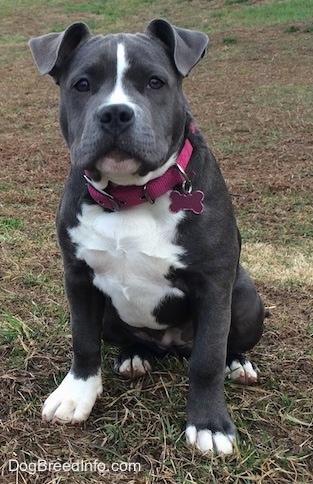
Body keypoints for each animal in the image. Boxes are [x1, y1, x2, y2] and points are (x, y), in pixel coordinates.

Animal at [28, 17, 264, 452]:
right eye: (82, 85)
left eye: (155, 82)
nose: (115, 113)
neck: (129, 196)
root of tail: (170, 345)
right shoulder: (78, 278)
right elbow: (83, 340)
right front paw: (76, 395)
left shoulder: (213, 284)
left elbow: (207, 359)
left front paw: (209, 425)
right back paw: (134, 355)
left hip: (245, 298)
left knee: (223, 345)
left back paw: (237, 364)